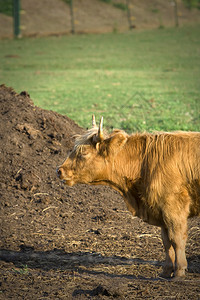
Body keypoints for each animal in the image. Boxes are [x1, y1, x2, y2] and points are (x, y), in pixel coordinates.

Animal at [56, 116, 200, 278]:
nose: (59, 170)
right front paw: (166, 271)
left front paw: (179, 271)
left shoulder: (174, 207)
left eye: (84, 152)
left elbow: (176, 239)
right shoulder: (160, 210)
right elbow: (166, 241)